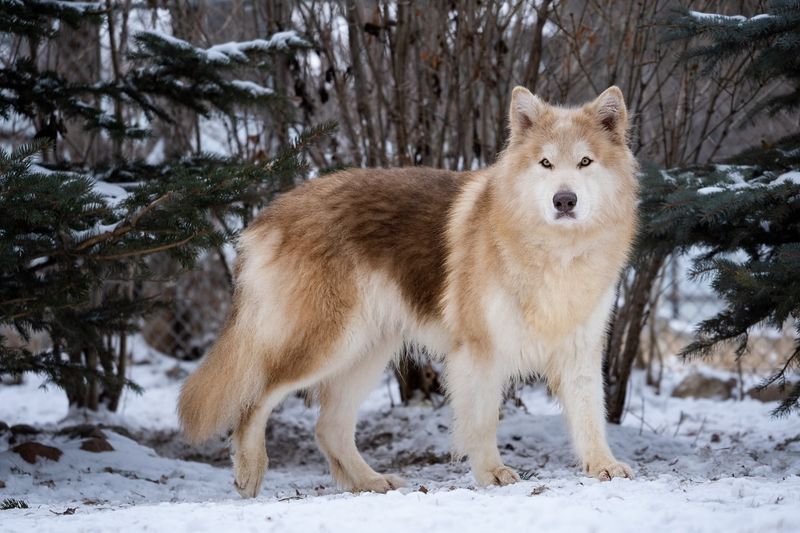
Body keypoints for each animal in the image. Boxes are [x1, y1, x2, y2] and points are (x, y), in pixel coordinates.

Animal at [180, 85, 636, 496]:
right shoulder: (479, 353)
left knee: (328, 427)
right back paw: (250, 470)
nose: (564, 200)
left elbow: (590, 417)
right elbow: (483, 421)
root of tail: (269, 213)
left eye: (585, 162)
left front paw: (603, 466)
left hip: (365, 352)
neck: (556, 253)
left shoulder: (580, 351)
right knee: (255, 401)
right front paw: (491, 473)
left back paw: (369, 482)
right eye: (545, 163)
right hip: (326, 346)